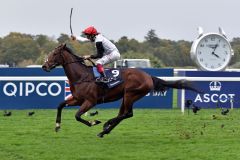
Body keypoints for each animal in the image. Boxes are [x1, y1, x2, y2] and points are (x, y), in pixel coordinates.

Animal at [42, 43, 200, 138]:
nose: (44, 66)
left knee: (127, 114)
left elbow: (77, 116)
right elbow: (60, 105)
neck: (82, 76)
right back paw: (104, 131)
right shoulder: (77, 99)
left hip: (131, 94)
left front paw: (94, 122)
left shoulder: (90, 101)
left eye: (54, 54)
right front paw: (57, 126)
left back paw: (105, 125)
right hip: (126, 96)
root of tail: (148, 76)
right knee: (123, 114)